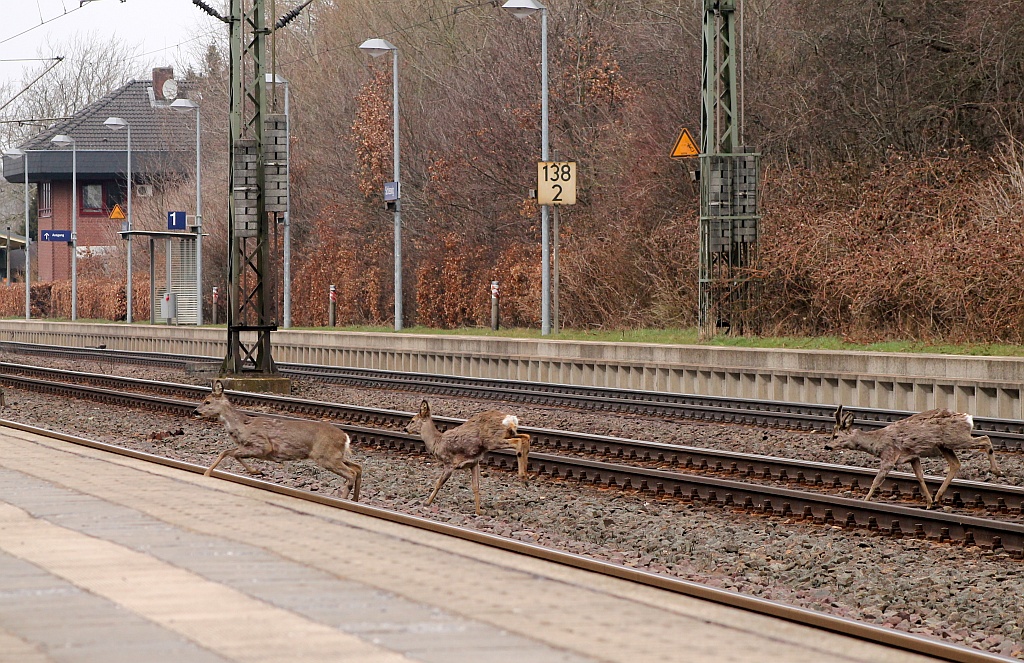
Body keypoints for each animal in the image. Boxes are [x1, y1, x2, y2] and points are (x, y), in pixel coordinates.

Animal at [193, 381, 362, 500]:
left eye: (207, 401)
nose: (195, 411)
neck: (242, 426)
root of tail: (345, 437)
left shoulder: (262, 445)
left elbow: (230, 453)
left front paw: (208, 473)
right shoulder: (251, 447)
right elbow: (228, 452)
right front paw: (257, 471)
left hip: (325, 455)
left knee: (351, 472)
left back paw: (344, 498)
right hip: (334, 455)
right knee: (358, 467)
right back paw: (354, 499)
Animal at [819, 403, 1003, 508]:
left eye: (835, 436)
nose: (827, 446)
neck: (876, 442)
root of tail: (968, 418)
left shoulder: (889, 456)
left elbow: (876, 482)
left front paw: (864, 501)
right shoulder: (913, 456)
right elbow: (920, 477)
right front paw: (928, 502)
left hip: (956, 438)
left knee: (985, 439)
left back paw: (996, 471)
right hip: (944, 445)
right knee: (955, 464)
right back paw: (937, 498)